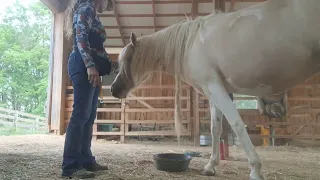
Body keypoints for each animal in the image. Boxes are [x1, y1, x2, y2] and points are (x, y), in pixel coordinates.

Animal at [110, 0, 320, 179]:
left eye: (126, 61)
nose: (113, 90)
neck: (191, 45)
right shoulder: (214, 91)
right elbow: (215, 129)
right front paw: (210, 166)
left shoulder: (215, 88)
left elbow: (236, 125)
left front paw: (255, 170)